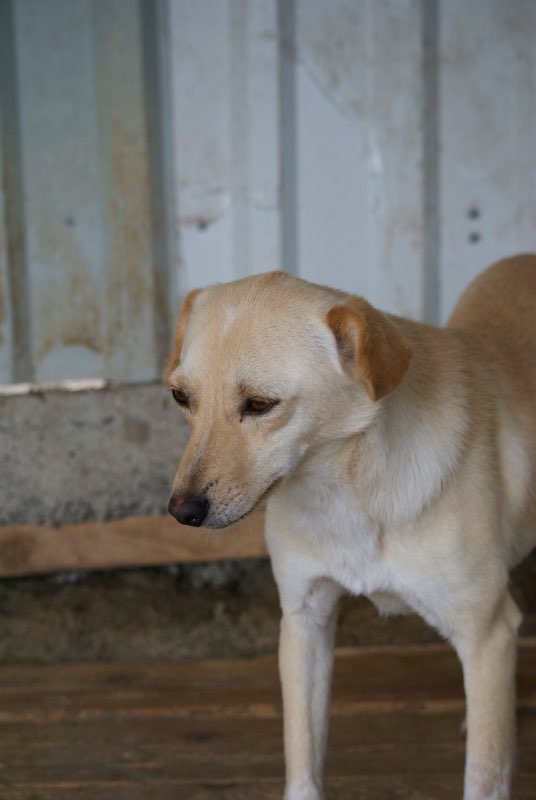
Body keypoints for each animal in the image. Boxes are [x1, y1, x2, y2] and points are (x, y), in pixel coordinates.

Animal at [165, 256, 532, 800]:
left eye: (260, 404)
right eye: (180, 397)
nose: (181, 511)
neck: (347, 490)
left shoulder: (486, 630)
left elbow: (484, 775)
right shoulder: (305, 619)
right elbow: (302, 752)